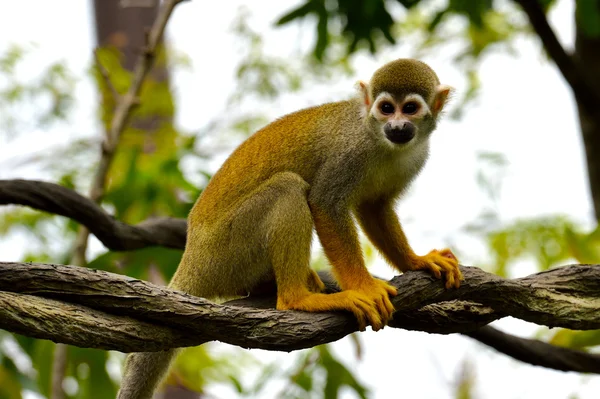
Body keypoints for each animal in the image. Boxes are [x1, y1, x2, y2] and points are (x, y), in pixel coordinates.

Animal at [118, 57, 464, 398]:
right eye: (386, 108)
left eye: (410, 108)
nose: (397, 127)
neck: (379, 138)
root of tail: (192, 257)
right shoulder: (351, 151)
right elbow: (325, 204)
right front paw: (364, 287)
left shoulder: (415, 155)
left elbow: (374, 207)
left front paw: (416, 261)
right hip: (225, 250)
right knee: (287, 187)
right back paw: (297, 299)